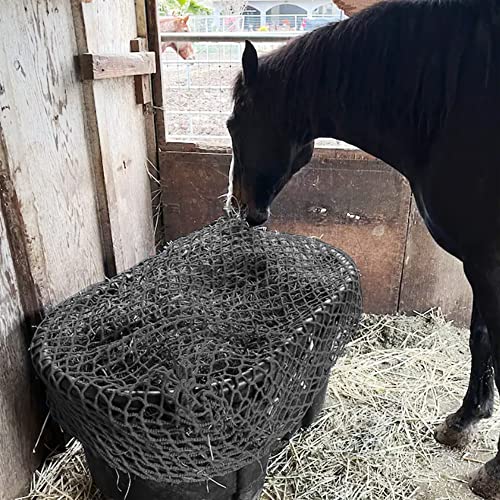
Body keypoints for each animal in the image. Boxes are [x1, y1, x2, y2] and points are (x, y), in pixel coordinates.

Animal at [227, 0, 500, 496]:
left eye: (233, 123)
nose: (240, 208)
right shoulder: (479, 261)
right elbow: (480, 337)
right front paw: (464, 420)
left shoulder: (488, 263)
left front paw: (492, 470)